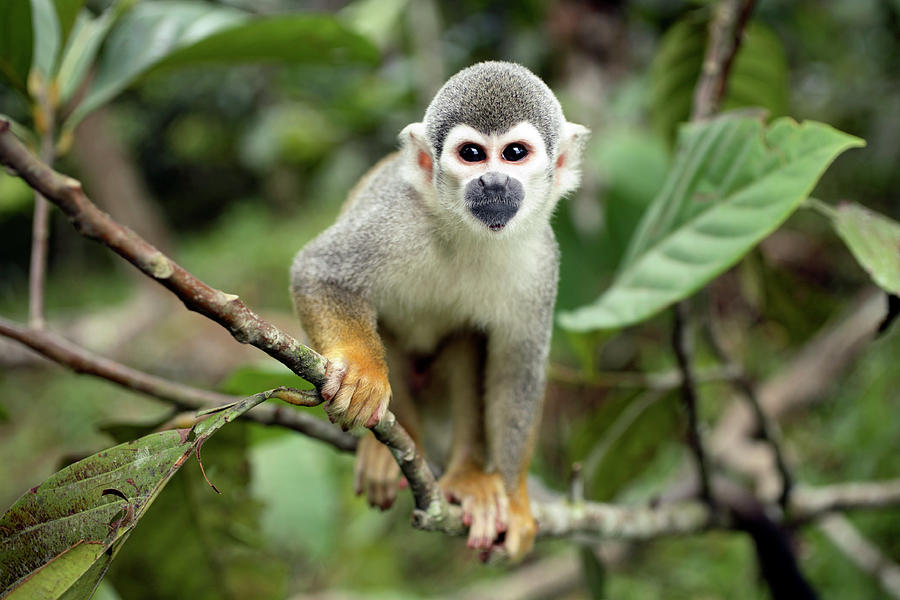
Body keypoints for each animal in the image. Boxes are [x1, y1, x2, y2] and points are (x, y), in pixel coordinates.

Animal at [292, 62, 592, 564]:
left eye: (514, 153)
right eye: (472, 154)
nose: (493, 182)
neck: (473, 235)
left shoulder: (541, 262)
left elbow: (516, 369)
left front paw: (515, 501)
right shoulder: (395, 219)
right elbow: (320, 272)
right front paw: (363, 374)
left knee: (468, 342)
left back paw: (469, 477)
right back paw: (396, 444)